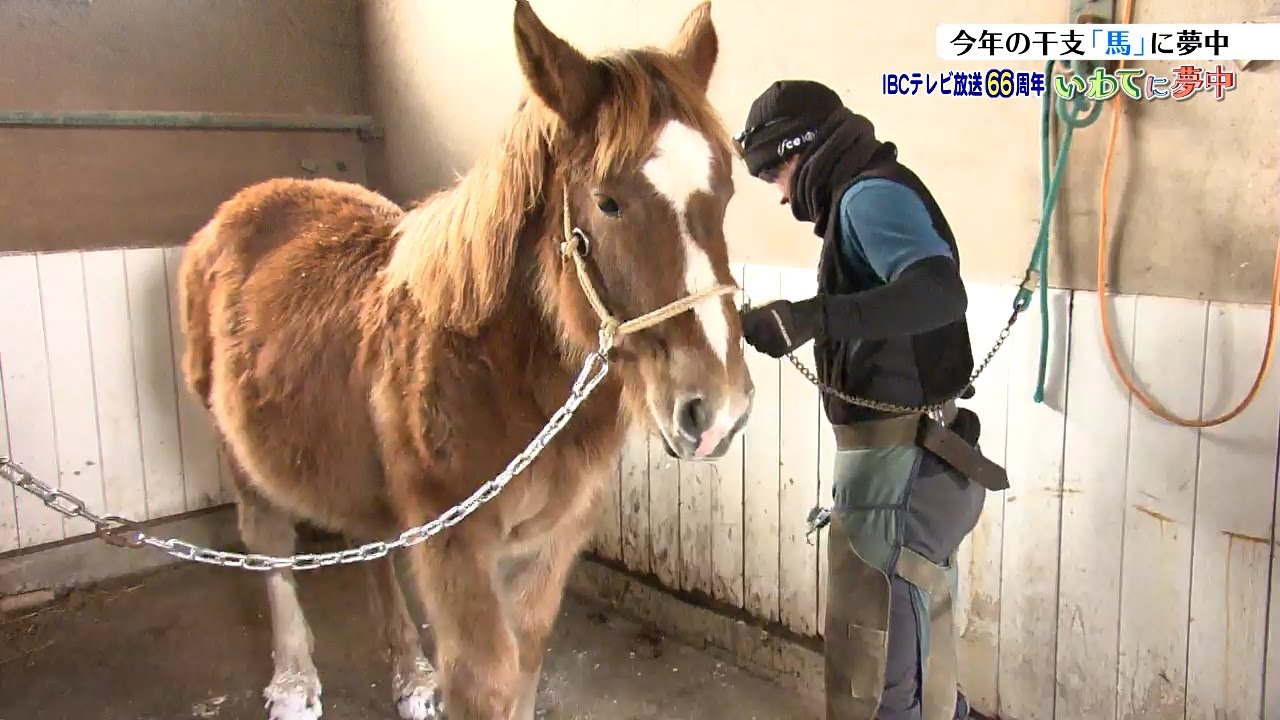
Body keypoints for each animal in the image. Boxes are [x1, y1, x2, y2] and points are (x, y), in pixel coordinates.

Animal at [174, 2, 753, 718]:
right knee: (270, 547)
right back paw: (294, 683)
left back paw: (410, 676)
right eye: (608, 201)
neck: (497, 373)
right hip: (239, 452)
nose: (718, 411)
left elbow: (526, 660)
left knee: (367, 543)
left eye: (726, 192)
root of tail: (239, 209)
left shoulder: (555, 538)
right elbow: (485, 680)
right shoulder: (456, 544)